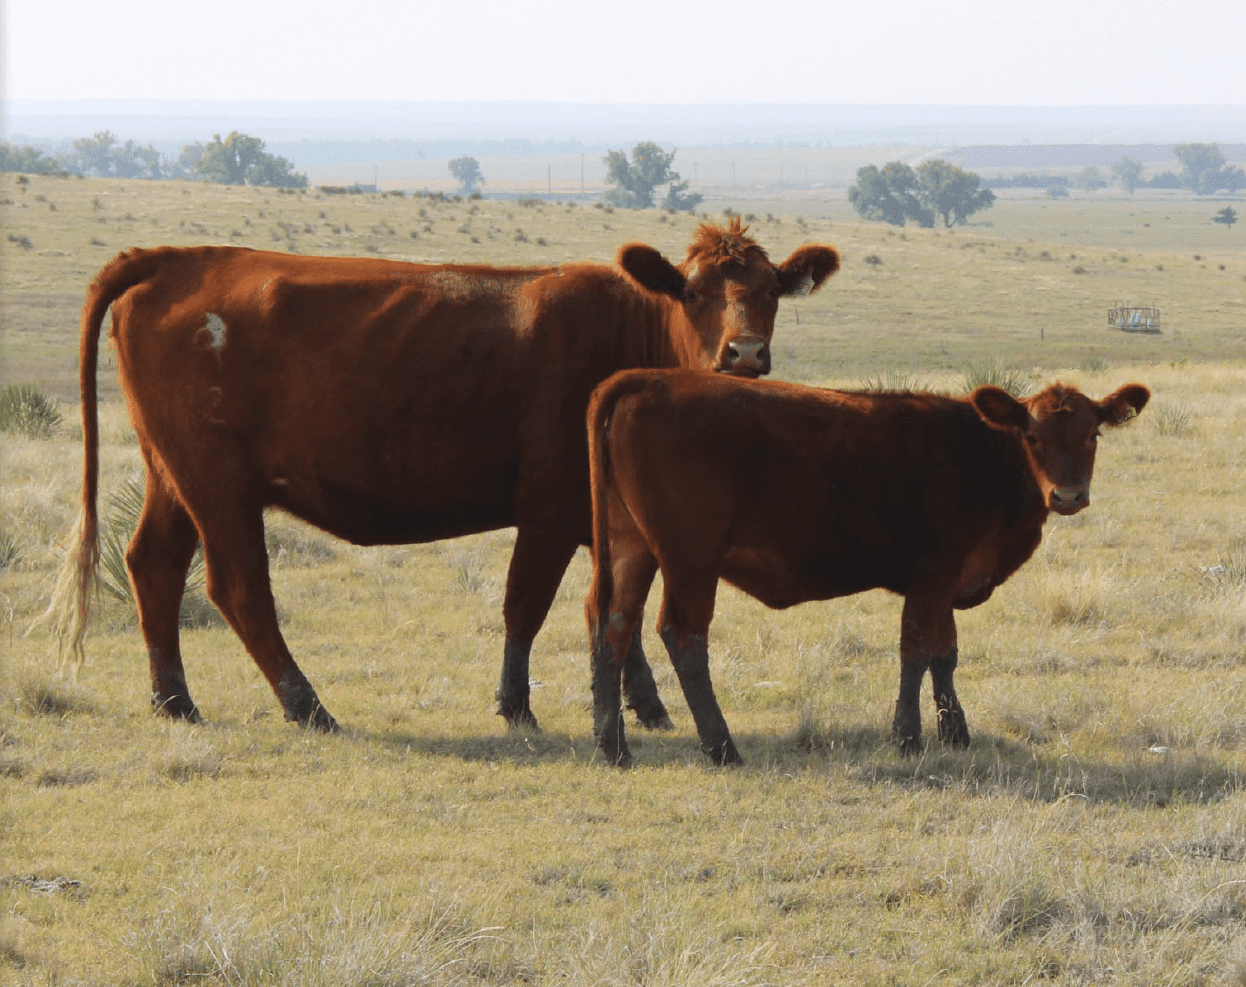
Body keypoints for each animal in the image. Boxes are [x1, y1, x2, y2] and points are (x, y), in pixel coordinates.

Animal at [583, 368, 1146, 762]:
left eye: (1094, 435)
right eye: (1032, 436)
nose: (1068, 495)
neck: (979, 454)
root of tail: (650, 377)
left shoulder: (949, 581)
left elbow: (945, 654)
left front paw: (956, 733)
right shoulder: (932, 575)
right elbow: (915, 650)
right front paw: (908, 738)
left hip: (632, 549)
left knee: (612, 623)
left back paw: (614, 747)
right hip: (690, 561)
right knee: (682, 635)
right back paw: (722, 748)